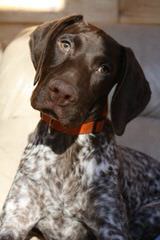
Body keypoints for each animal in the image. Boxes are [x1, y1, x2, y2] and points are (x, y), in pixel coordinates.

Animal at [0, 14, 160, 240]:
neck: (66, 141)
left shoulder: (112, 228)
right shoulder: (15, 218)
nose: (61, 92)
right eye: (65, 44)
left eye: (104, 69)